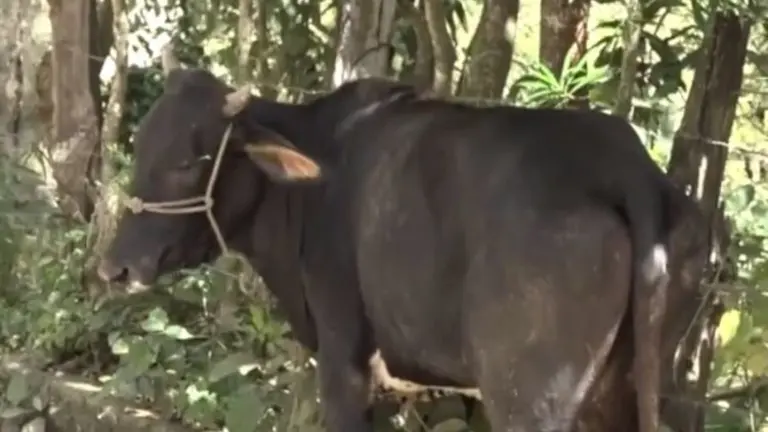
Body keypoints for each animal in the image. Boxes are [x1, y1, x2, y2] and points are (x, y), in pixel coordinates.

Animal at [97, 48, 709, 432]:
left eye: (186, 163)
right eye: (141, 144)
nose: (115, 268)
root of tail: (627, 168)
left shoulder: (345, 355)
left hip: (530, 395)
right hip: (628, 385)